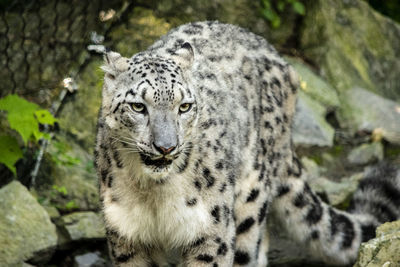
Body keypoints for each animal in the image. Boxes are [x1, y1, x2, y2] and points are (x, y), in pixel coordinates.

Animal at [94, 21, 400, 267]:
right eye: (138, 106)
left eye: (184, 106)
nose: (166, 147)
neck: (155, 195)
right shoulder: (127, 235)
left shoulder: (210, 232)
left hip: (250, 194)